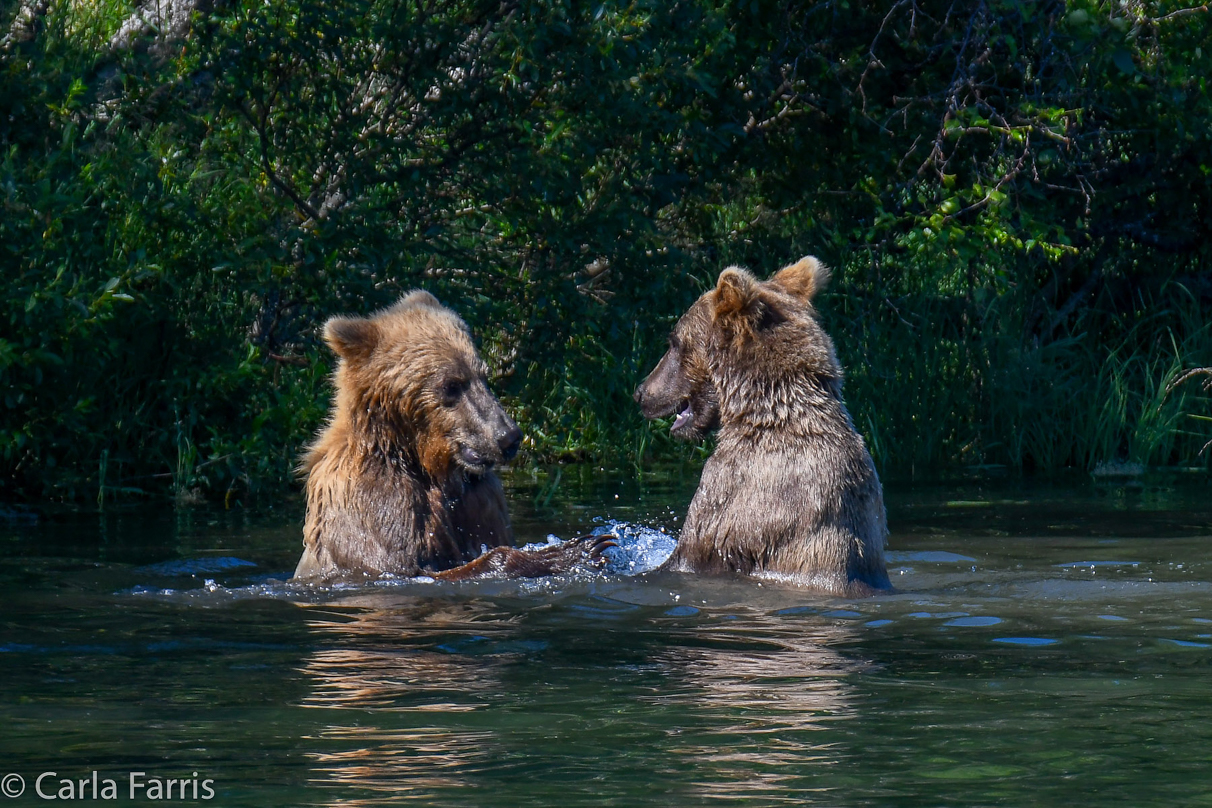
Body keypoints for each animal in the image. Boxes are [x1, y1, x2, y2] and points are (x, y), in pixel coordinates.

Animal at [293, 290, 606, 581]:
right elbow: (405, 567)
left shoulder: (479, 498)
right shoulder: (373, 498)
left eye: (483, 376)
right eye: (451, 385)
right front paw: (574, 550)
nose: (508, 437)